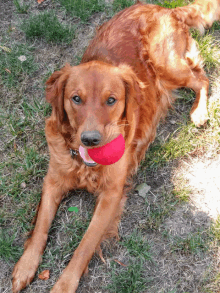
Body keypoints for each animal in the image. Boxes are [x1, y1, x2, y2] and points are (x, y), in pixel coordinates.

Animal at [12, 1, 220, 290]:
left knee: (201, 78)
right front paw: (25, 266)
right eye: (76, 98)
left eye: (111, 100)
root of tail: (164, 8)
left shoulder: (111, 194)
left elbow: (85, 245)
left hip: (166, 65)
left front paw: (64, 285)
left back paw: (199, 112)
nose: (90, 139)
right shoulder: (53, 180)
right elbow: (41, 226)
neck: (84, 163)